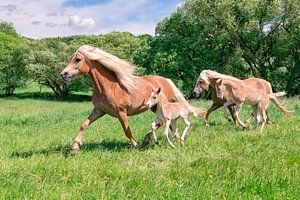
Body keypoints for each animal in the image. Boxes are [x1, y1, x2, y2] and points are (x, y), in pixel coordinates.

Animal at [59, 45, 205, 154]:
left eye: (78, 59)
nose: (63, 74)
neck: (109, 87)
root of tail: (166, 81)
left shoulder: (121, 112)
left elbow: (127, 130)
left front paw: (135, 146)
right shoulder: (99, 110)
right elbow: (84, 124)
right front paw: (74, 148)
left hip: (158, 107)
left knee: (162, 123)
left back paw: (149, 140)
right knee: (165, 124)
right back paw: (172, 139)